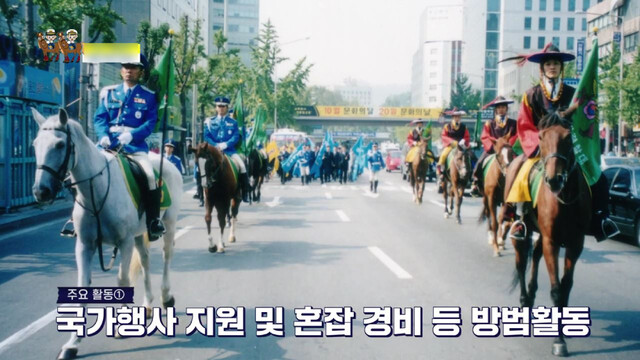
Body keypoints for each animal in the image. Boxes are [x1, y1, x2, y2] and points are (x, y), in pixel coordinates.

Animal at [31, 109, 182, 360]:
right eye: (35, 144)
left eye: (60, 144)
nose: (40, 191)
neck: (97, 189)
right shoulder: (84, 245)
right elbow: (82, 286)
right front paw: (72, 343)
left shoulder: (124, 242)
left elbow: (123, 281)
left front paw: (122, 326)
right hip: (140, 234)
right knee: (146, 261)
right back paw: (147, 307)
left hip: (168, 224)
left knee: (167, 256)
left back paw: (166, 297)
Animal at [504, 112, 592, 358]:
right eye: (541, 137)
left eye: (568, 137)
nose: (554, 179)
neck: (565, 199)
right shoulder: (552, 242)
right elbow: (555, 290)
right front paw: (558, 341)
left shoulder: (575, 244)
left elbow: (566, 287)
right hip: (520, 229)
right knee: (521, 263)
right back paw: (524, 302)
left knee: (534, 255)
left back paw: (532, 295)